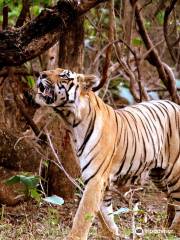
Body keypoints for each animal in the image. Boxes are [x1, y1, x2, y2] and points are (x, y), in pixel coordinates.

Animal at [35, 68, 180, 240]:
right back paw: (166, 226)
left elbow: (83, 215)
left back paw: (172, 230)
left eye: (64, 75)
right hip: (159, 174)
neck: (72, 123)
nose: (41, 75)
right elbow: (104, 213)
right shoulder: (96, 179)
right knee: (170, 198)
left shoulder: (96, 178)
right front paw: (111, 234)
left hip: (175, 172)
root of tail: (175, 104)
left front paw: (75, 237)